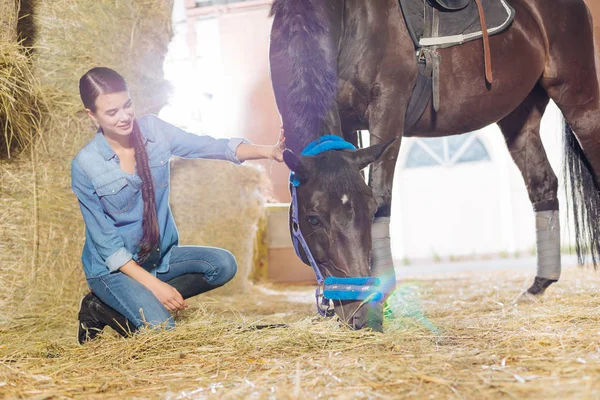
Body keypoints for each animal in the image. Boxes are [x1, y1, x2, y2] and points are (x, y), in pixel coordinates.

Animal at [270, 0, 600, 332]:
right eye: (313, 219)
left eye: (370, 210)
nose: (359, 312)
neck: (349, 21)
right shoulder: (346, 123)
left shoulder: (389, 109)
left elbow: (382, 192)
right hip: (519, 116)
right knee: (542, 183)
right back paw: (538, 286)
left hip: (578, 97)